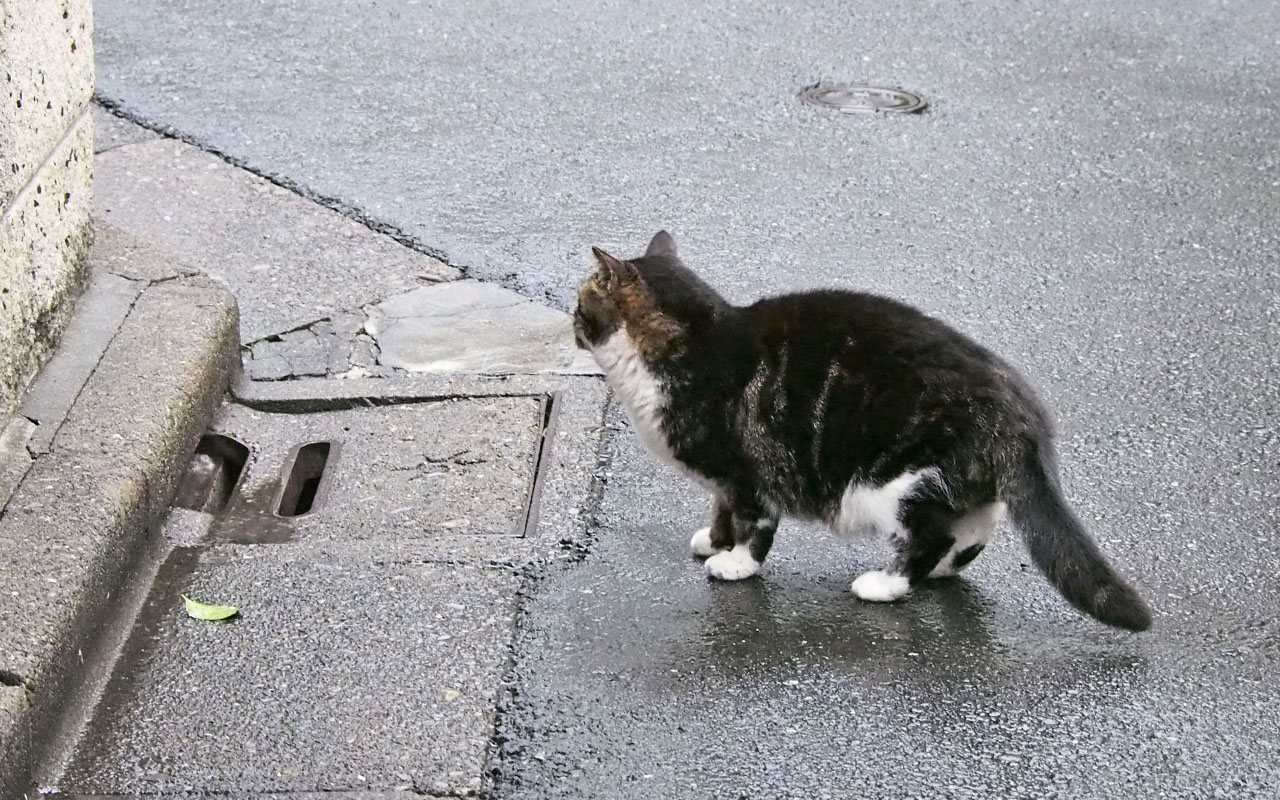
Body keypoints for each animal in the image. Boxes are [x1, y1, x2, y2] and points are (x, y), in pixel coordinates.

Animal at [576, 229, 1157, 629]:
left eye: (581, 303)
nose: (573, 324)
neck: (690, 343)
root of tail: (1019, 411)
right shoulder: (723, 479)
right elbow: (720, 509)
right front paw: (715, 541)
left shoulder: (748, 468)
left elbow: (754, 522)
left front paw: (736, 563)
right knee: (975, 524)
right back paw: (938, 569)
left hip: (891, 479)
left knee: (933, 534)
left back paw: (887, 583)